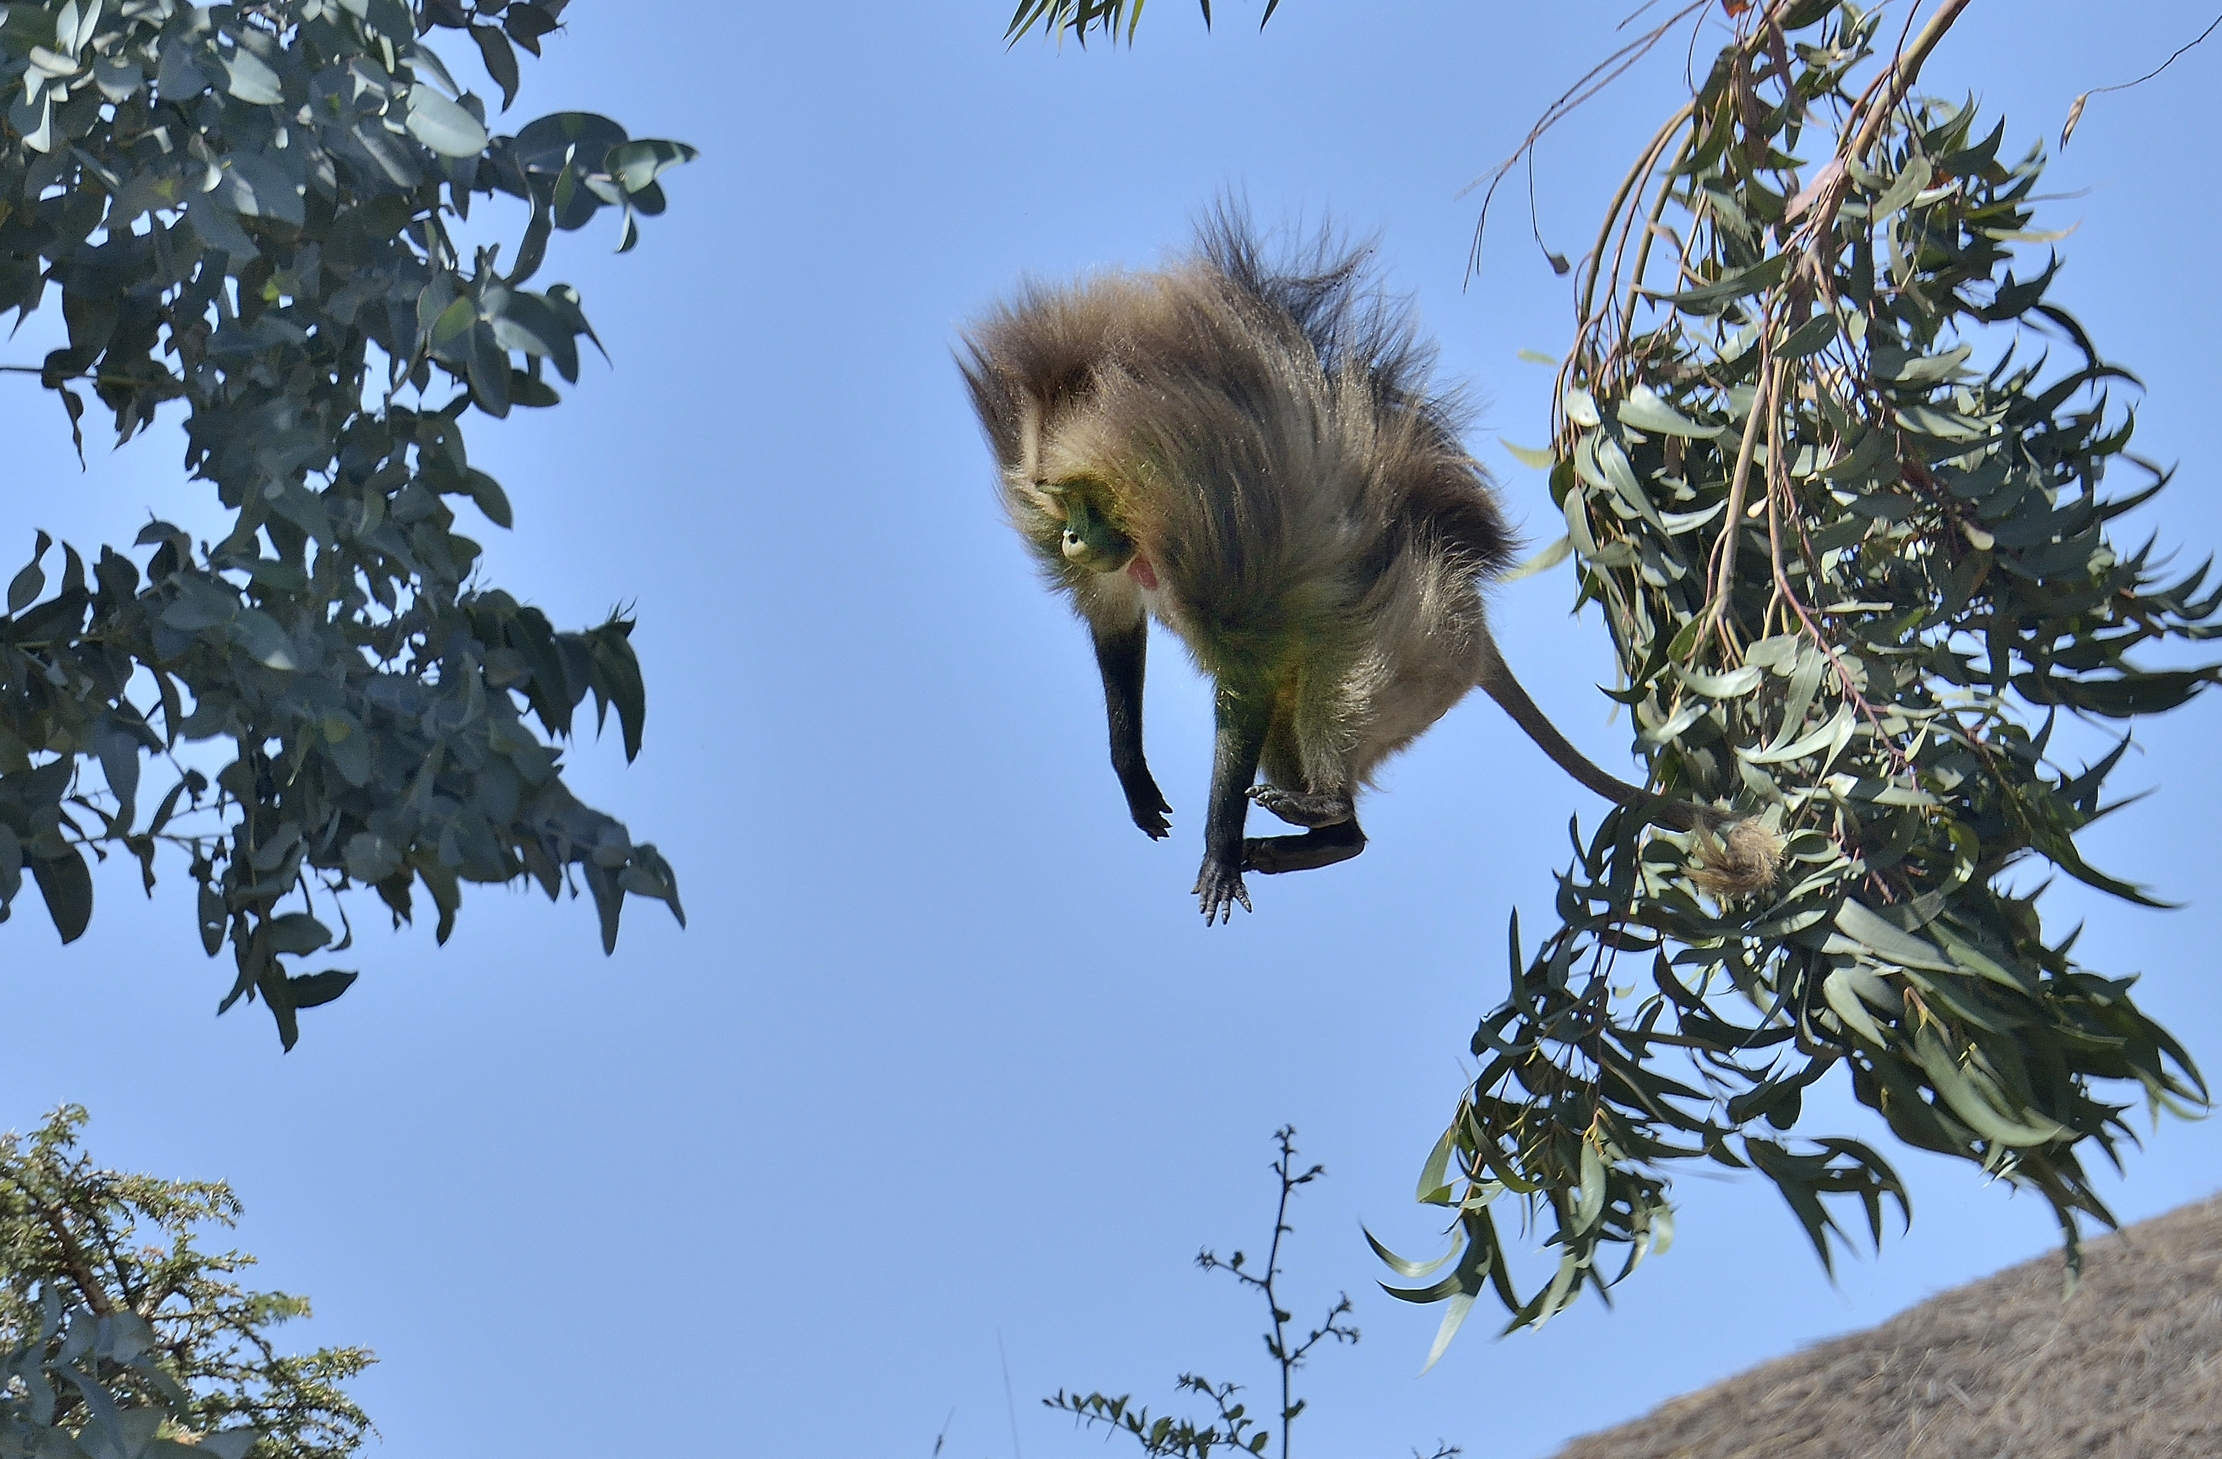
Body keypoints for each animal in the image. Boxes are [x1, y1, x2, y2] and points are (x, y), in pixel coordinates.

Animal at [960, 215, 1775, 923]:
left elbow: (1244, 676)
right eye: (1058, 501)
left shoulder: (1215, 548)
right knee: (1302, 744)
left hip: (1417, 645)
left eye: (1083, 502)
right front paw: (1134, 772)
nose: (1070, 539)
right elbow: (1118, 622)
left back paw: (1320, 816)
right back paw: (1316, 830)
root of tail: (1474, 631)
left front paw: (1217, 846)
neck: (1143, 528)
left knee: (1332, 700)